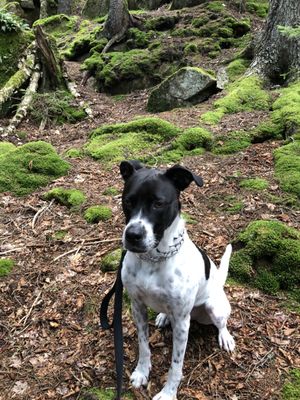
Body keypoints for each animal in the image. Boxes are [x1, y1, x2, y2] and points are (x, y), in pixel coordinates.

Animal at [119, 160, 234, 400]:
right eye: (128, 201)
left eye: (158, 203)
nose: (133, 235)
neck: (153, 259)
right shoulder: (137, 306)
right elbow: (143, 345)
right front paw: (142, 372)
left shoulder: (182, 322)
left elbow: (176, 365)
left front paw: (168, 393)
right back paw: (163, 316)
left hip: (214, 308)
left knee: (222, 324)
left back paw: (225, 337)